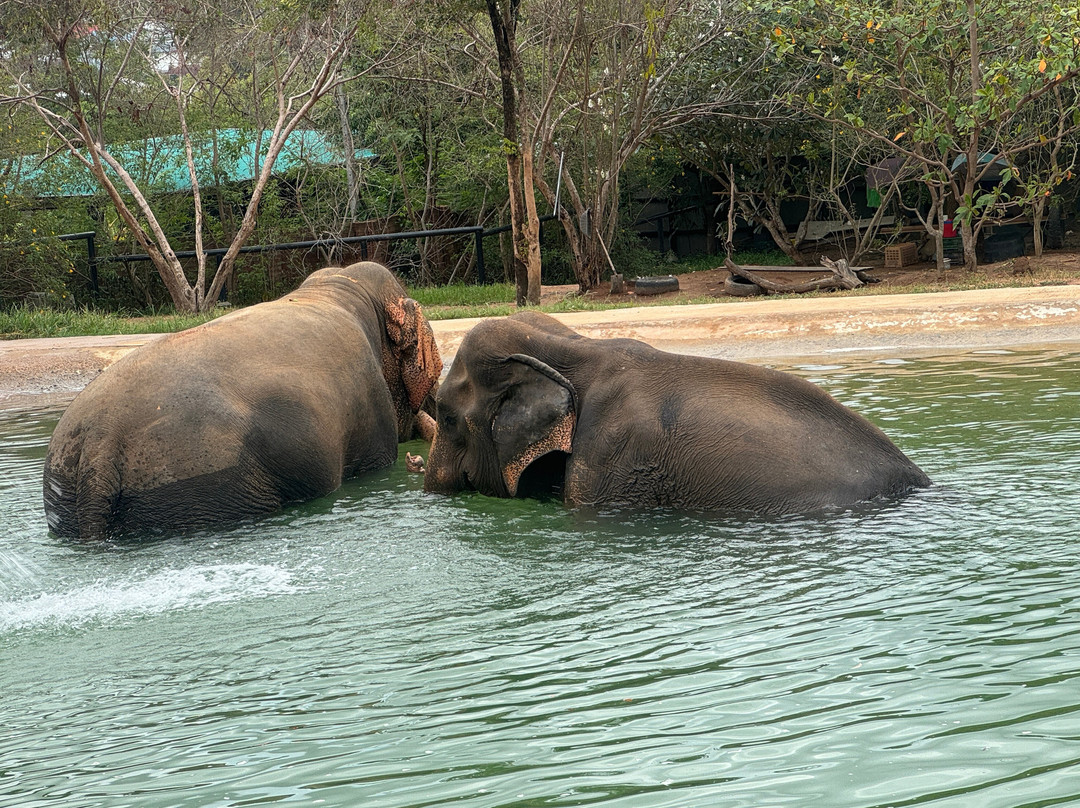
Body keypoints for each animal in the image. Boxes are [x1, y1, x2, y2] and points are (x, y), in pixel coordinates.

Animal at [44, 261, 442, 541]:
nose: (418, 458)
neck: (340, 286)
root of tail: (101, 444)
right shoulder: (371, 413)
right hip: (207, 482)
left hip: (68, 496)